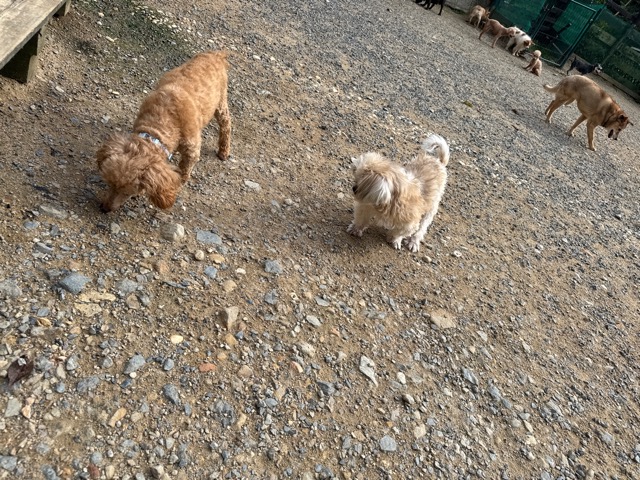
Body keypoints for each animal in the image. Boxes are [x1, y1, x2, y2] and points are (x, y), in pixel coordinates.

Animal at [96, 50, 231, 212]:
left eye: (127, 192)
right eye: (109, 183)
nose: (104, 208)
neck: (162, 122)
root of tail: (216, 54)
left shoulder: (192, 149)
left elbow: (184, 171)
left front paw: (180, 184)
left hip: (220, 102)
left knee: (226, 124)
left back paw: (224, 151)